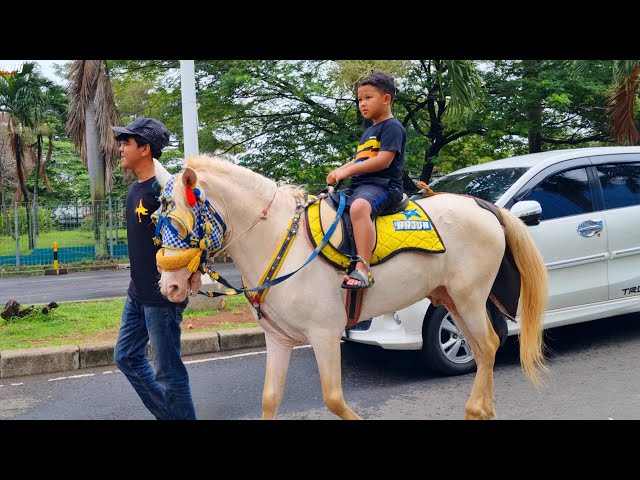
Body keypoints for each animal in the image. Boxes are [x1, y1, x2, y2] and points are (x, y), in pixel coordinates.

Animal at [152, 157, 548, 420]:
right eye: (157, 220)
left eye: (179, 221)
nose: (169, 285)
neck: (280, 240)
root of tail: (482, 205)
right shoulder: (278, 339)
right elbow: (269, 398)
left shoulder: (325, 334)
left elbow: (333, 398)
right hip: (449, 297)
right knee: (482, 349)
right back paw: (482, 410)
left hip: (469, 297)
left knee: (489, 345)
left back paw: (476, 408)